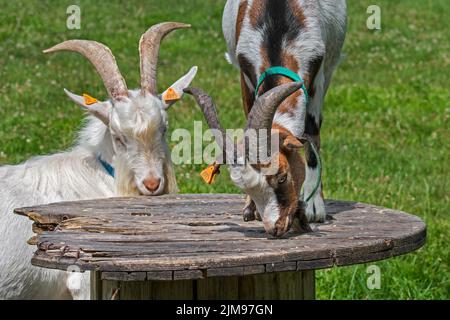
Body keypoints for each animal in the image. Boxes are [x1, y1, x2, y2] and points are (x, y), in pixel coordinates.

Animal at [223, 1, 346, 228]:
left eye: (283, 176)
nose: (275, 222)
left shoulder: (317, 73)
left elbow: (312, 132)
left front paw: (314, 205)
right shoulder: (245, 74)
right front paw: (250, 207)